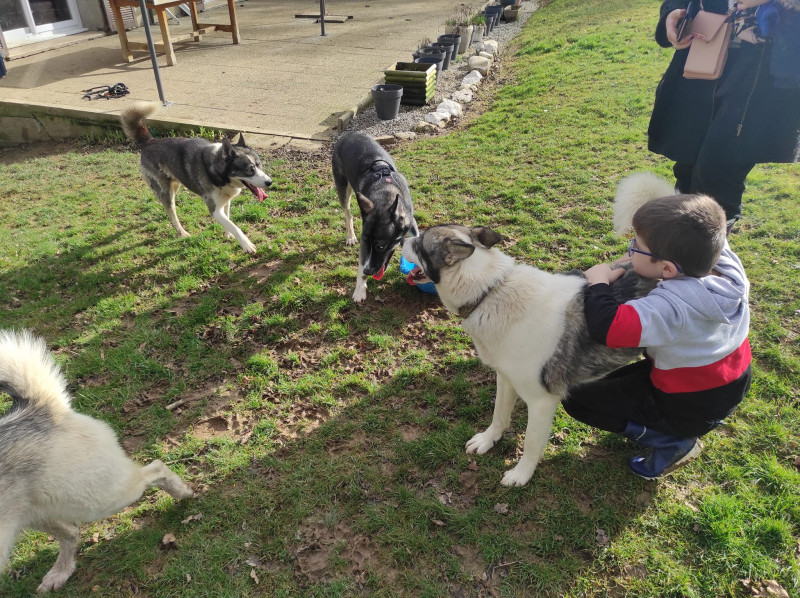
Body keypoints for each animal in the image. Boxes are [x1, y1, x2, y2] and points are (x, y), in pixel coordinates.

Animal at [0, 330, 194, 592]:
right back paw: (60, 572)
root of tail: (36, 408)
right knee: (72, 532)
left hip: (94, 496)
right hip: (37, 511)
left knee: (155, 468)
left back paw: (183, 492)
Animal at [120, 100, 274, 253]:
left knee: (166, 205)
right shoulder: (214, 209)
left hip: (175, 184)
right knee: (171, 212)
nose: (269, 182)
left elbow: (228, 218)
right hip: (166, 190)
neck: (217, 171)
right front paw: (246, 244)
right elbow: (234, 226)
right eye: (249, 170)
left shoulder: (225, 200)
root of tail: (150, 141)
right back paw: (182, 232)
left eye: (259, 165)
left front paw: (228, 234)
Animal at [332, 133, 418, 302]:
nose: (368, 271)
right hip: (343, 188)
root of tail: (348, 134)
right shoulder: (364, 244)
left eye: (381, 246)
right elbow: (361, 265)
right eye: (366, 241)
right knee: (347, 213)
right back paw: (350, 236)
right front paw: (359, 290)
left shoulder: (412, 223)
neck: (386, 196)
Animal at [404, 223, 652, 486]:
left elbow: (531, 444)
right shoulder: (505, 379)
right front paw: (488, 440)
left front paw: (521, 474)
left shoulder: (542, 401)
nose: (402, 238)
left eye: (419, 244)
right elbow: (499, 415)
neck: (490, 292)